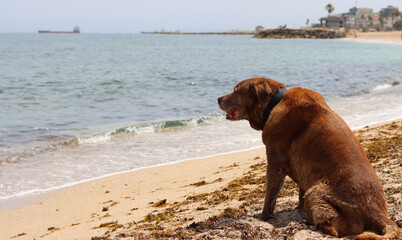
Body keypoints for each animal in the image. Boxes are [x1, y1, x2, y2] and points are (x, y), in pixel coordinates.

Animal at [218, 78, 400, 239]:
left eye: (235, 90)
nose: (217, 98)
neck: (274, 103)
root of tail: (376, 213)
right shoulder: (303, 171)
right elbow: (300, 192)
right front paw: (297, 208)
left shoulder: (275, 163)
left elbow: (269, 198)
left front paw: (262, 218)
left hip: (315, 193)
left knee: (339, 229)